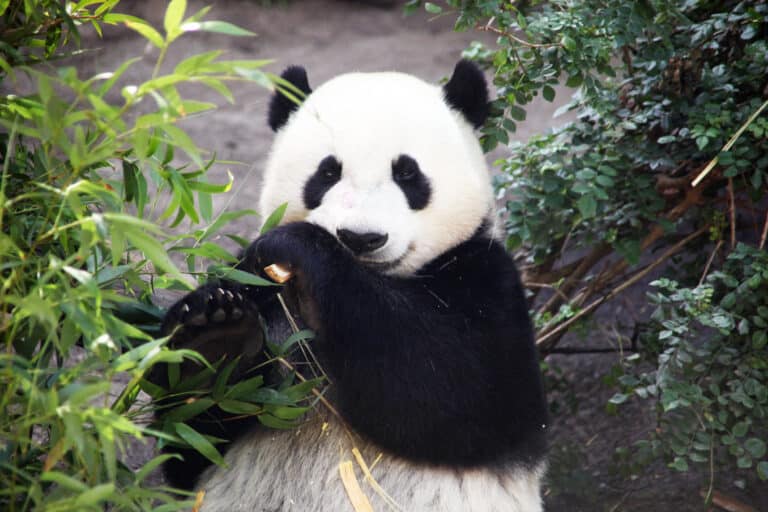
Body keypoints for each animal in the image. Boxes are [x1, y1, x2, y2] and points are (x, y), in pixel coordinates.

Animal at [157, 60, 548, 511]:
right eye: (327, 172)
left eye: (407, 173)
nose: (361, 238)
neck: (377, 279)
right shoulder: (256, 287)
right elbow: (190, 440)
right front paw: (213, 336)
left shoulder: (487, 280)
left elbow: (453, 389)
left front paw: (300, 246)